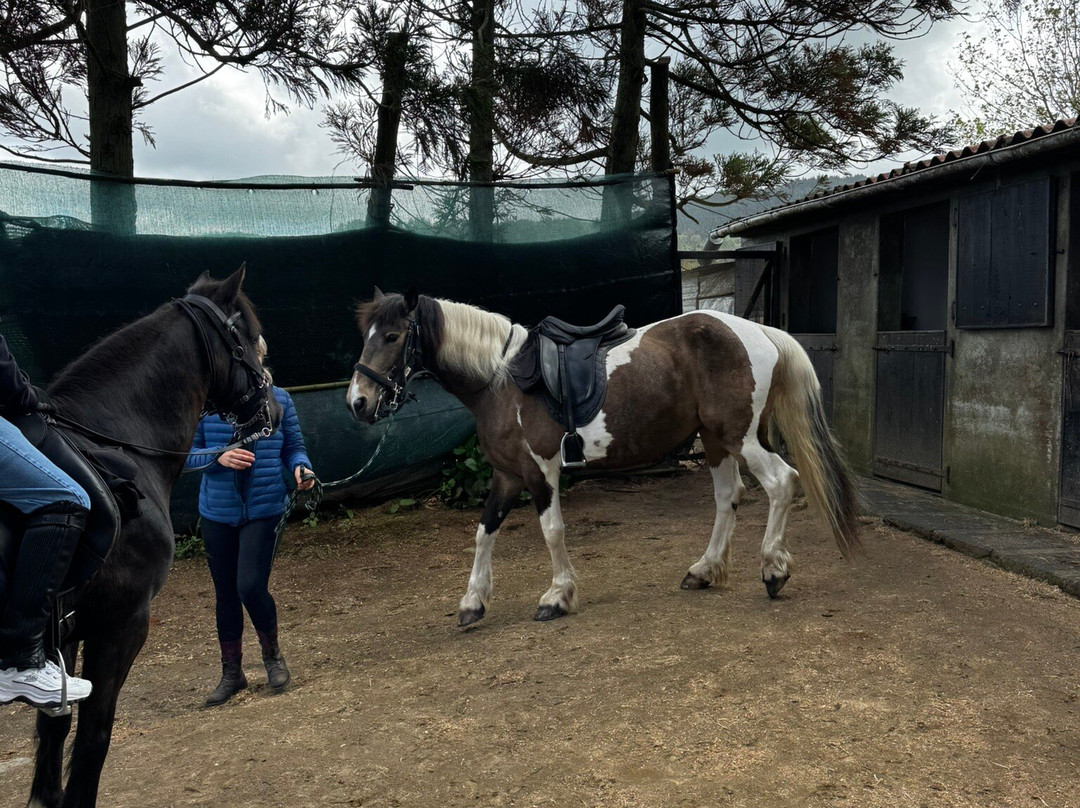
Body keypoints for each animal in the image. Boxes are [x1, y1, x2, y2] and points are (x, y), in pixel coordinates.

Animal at [13, 267, 280, 808]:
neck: (118, 446)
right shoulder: (121, 625)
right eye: (248, 337)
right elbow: (93, 737)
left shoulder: (63, 632)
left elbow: (55, 728)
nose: (272, 411)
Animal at [346, 289, 859, 627]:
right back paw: (704, 570)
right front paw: (473, 602)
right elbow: (483, 532)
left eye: (392, 336)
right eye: (366, 335)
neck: (501, 380)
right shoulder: (507, 475)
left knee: (782, 482)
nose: (358, 402)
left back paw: (773, 570)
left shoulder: (541, 470)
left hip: (741, 437)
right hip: (715, 440)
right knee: (728, 497)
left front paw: (557, 596)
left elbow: (551, 531)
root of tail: (760, 331)